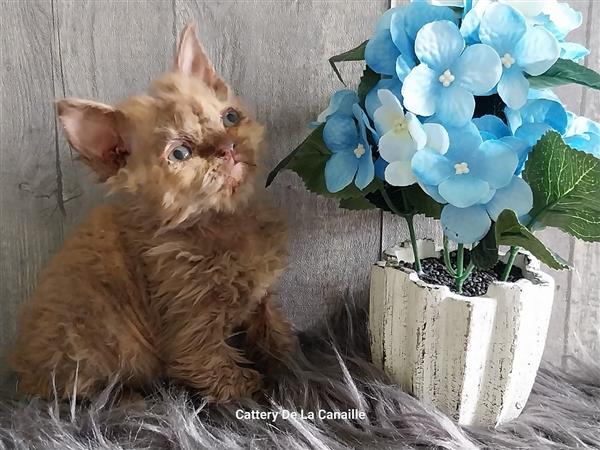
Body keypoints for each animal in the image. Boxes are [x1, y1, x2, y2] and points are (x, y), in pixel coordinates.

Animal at [10, 23, 296, 404]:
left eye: (230, 118)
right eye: (180, 154)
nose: (228, 146)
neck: (220, 221)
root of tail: (25, 375)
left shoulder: (259, 299)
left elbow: (273, 331)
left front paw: (290, 362)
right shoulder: (190, 323)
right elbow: (215, 366)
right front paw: (252, 392)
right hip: (90, 346)